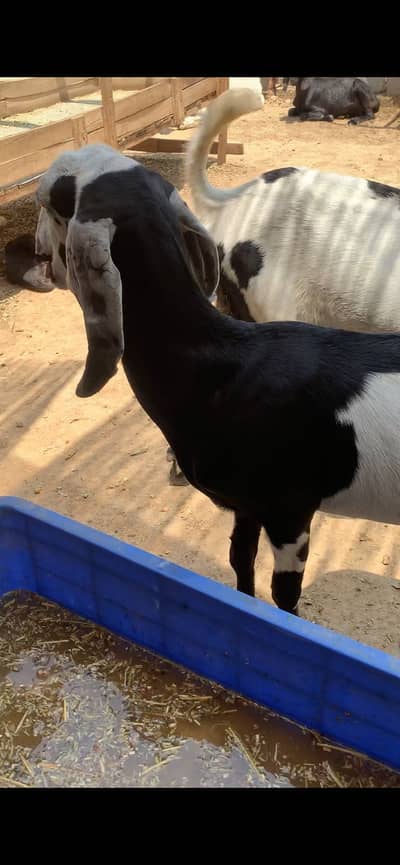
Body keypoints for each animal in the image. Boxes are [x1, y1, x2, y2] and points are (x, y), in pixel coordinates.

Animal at [36, 144, 400, 616]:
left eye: (51, 200)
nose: (38, 252)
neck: (223, 366)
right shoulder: (245, 506)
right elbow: (239, 561)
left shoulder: (289, 512)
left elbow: (284, 596)